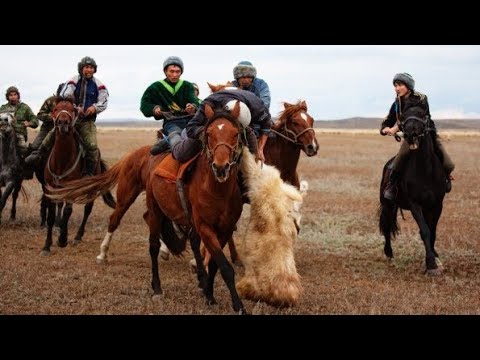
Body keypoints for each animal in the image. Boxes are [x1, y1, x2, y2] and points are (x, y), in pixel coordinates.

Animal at [42, 95, 115, 256]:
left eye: (72, 109)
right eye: (55, 109)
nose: (63, 123)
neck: (61, 160)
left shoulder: (70, 190)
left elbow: (67, 212)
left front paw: (63, 239)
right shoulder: (50, 190)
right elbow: (51, 217)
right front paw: (46, 246)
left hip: (91, 189)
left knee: (87, 209)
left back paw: (77, 236)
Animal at [378, 106, 446, 276]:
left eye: (423, 114)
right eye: (403, 116)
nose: (410, 133)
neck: (425, 171)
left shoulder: (436, 205)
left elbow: (432, 231)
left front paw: (436, 259)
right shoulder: (415, 205)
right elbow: (425, 231)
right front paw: (431, 264)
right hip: (387, 204)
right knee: (387, 226)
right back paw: (389, 253)